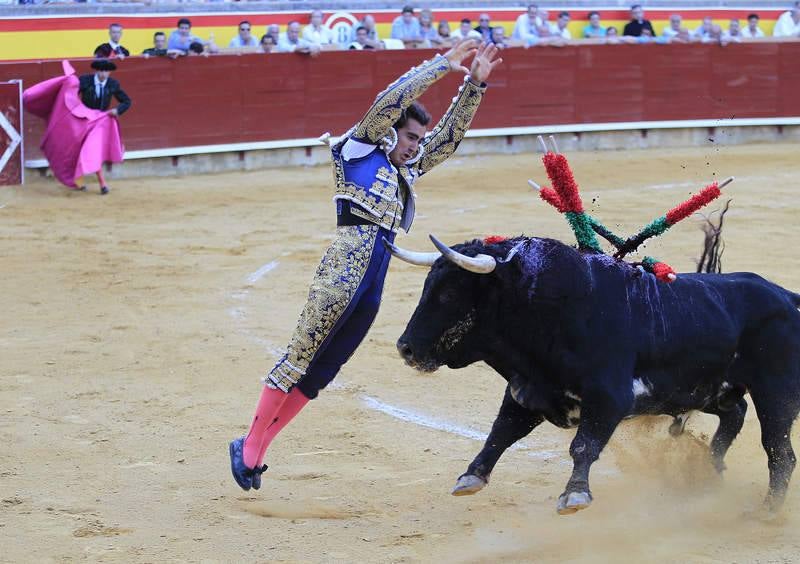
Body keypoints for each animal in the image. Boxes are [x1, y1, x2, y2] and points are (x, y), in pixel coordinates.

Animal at [388, 236, 800, 512]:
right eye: (428, 287)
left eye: (448, 294)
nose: (405, 348)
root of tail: (788, 297)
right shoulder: (529, 391)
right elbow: (500, 433)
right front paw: (470, 477)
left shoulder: (608, 397)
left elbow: (583, 444)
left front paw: (575, 494)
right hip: (709, 389)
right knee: (736, 414)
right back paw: (709, 475)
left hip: (776, 392)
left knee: (779, 451)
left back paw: (767, 510)